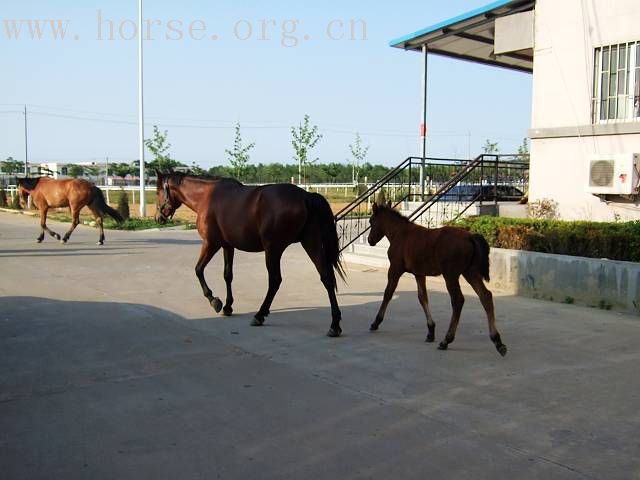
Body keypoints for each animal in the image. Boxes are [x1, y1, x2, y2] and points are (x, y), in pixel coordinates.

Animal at [154, 172, 344, 338]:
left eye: (157, 192)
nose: (158, 218)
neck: (207, 197)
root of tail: (306, 196)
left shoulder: (211, 244)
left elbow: (198, 270)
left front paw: (215, 301)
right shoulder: (228, 246)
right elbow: (227, 275)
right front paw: (228, 306)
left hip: (273, 249)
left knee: (275, 280)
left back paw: (259, 315)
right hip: (310, 243)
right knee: (326, 277)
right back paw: (334, 325)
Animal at [368, 202, 508, 356]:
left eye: (371, 221)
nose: (370, 240)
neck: (400, 233)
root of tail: (469, 236)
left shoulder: (395, 269)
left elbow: (388, 293)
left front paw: (376, 322)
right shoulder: (419, 274)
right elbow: (422, 297)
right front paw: (430, 331)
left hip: (451, 275)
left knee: (458, 300)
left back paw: (446, 340)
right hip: (470, 273)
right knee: (486, 296)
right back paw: (498, 341)